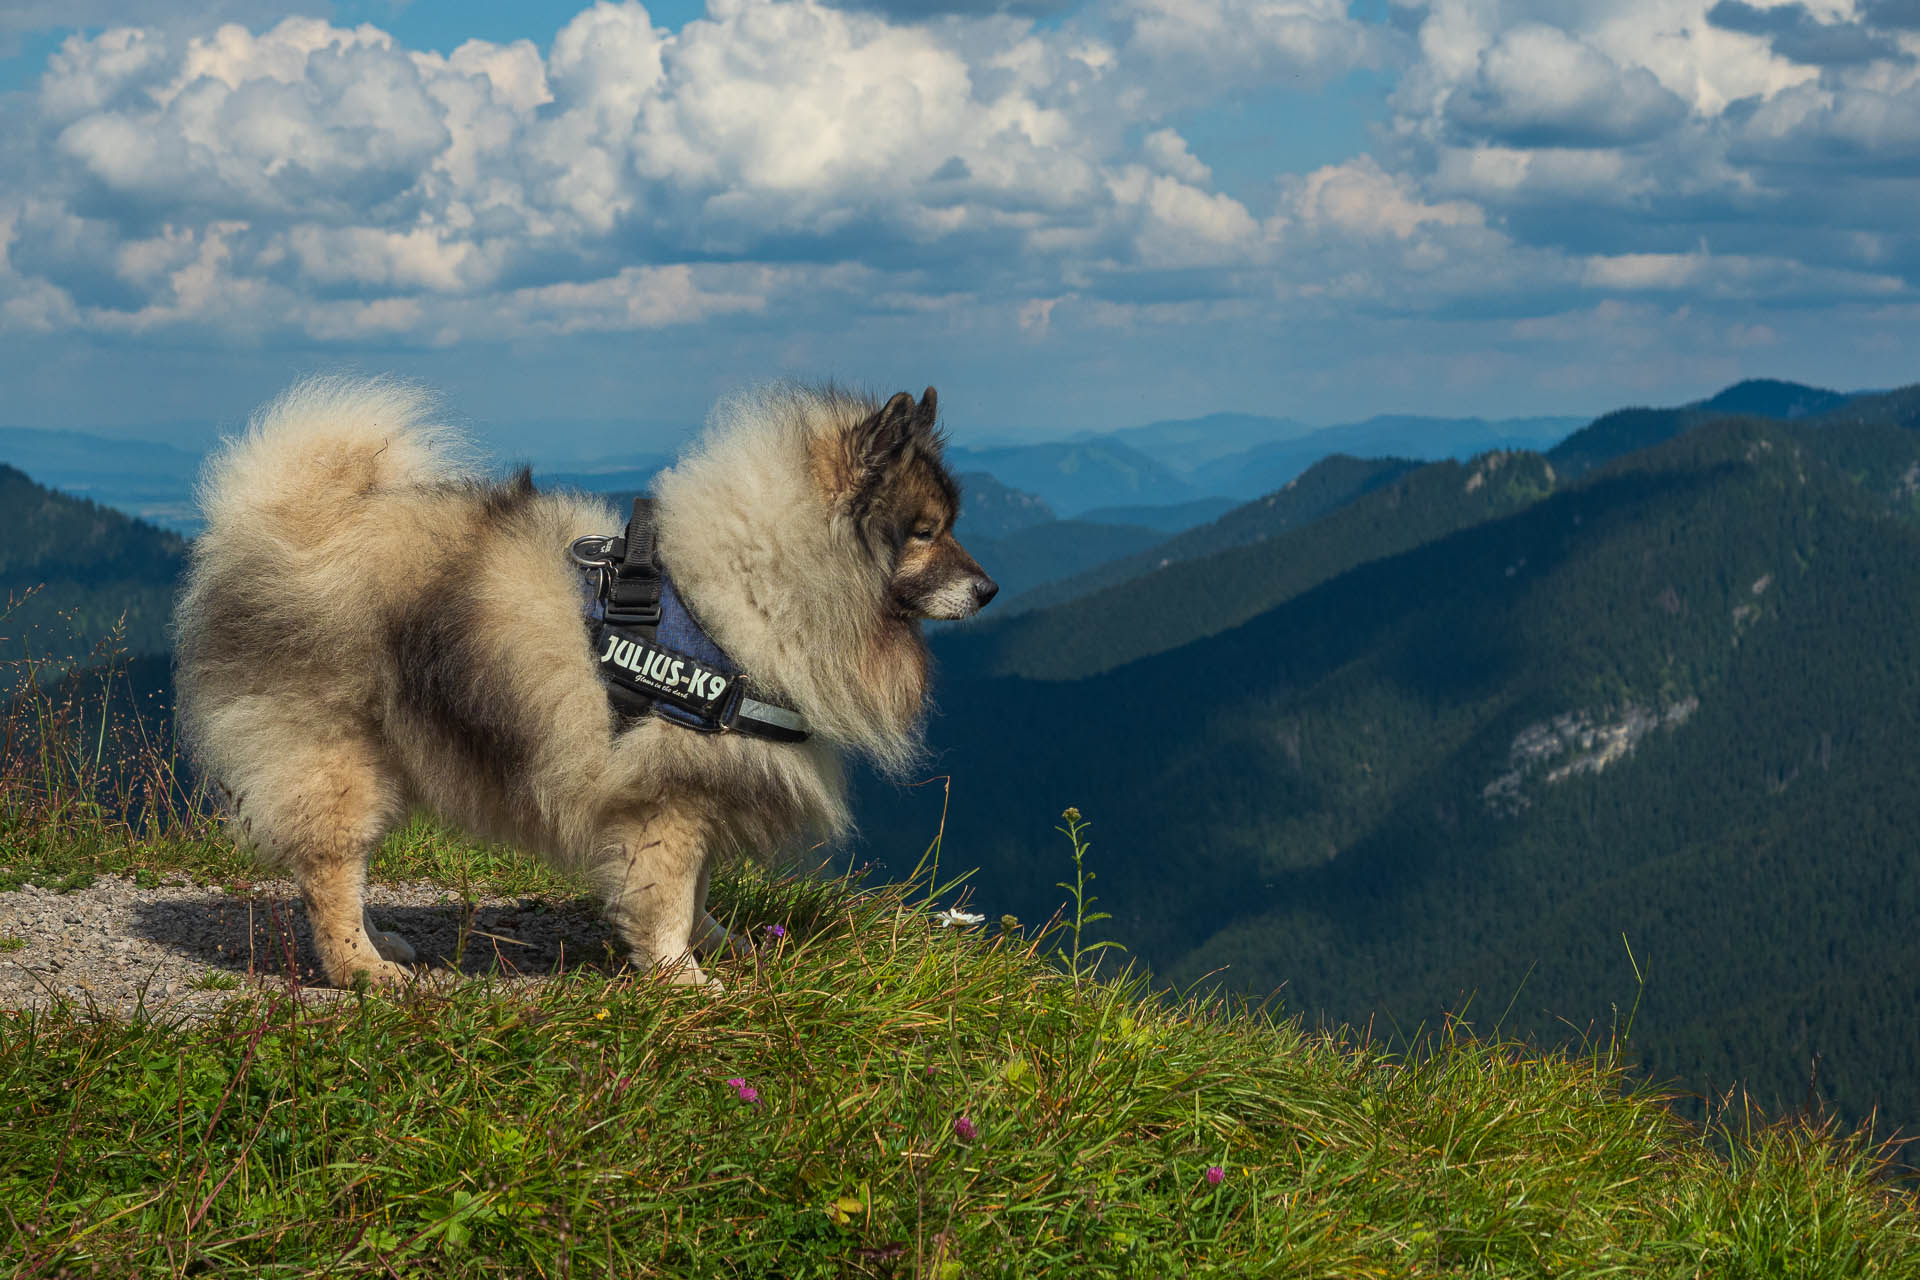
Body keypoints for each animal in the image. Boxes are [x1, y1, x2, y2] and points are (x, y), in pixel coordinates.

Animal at [172, 376, 998, 990]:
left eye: (949, 525)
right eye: (923, 532)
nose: (989, 590)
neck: (757, 589)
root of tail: (289, 516)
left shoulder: (698, 785)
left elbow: (696, 888)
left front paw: (717, 943)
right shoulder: (668, 796)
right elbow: (666, 895)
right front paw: (681, 977)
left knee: (347, 861)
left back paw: (385, 943)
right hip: (333, 753)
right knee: (331, 866)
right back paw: (360, 968)